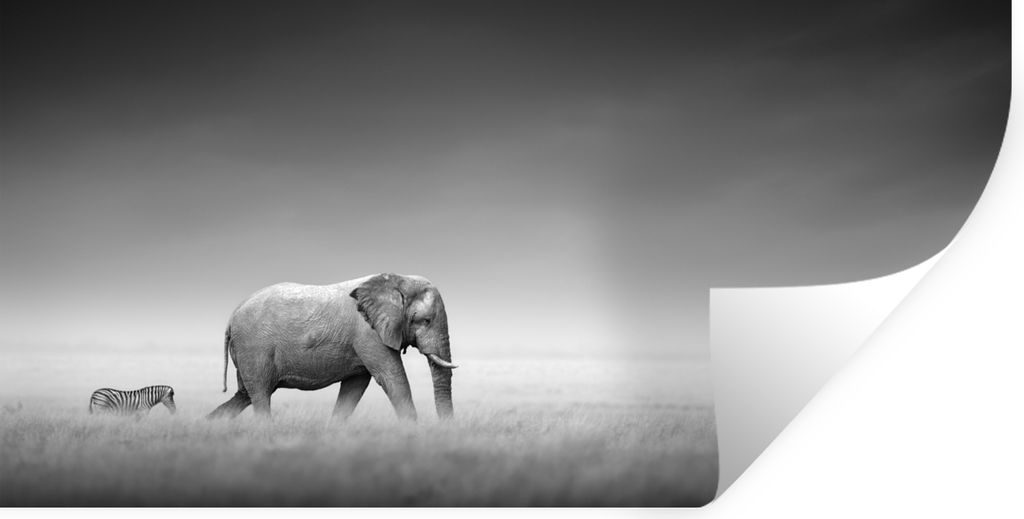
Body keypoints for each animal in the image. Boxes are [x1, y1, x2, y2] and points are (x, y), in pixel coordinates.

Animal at [207, 273, 456, 420]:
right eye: (425, 321)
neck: (397, 280)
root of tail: (232, 315)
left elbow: (354, 387)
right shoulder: (368, 333)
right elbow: (393, 379)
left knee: (244, 394)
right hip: (254, 347)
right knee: (259, 394)